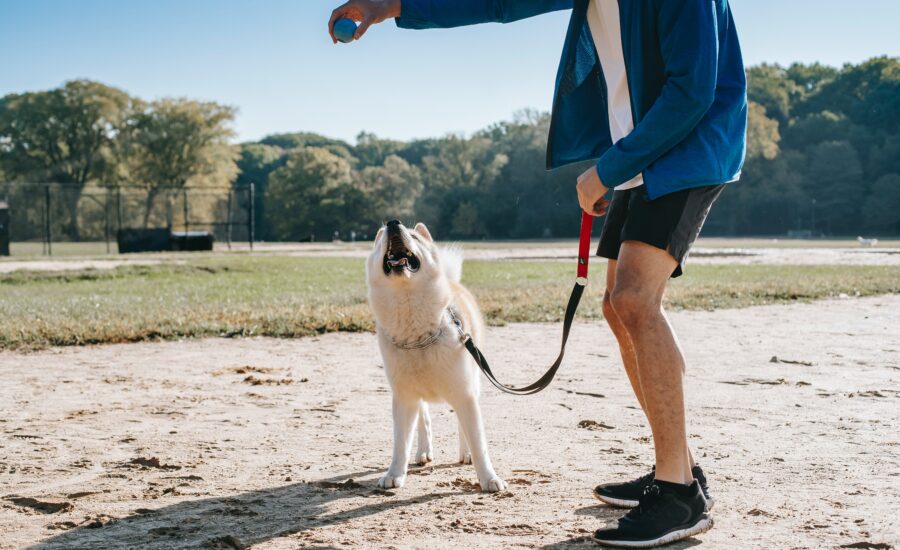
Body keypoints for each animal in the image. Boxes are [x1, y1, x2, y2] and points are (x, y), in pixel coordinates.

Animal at [366, 222, 506, 494]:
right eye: (381, 237)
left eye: (414, 235)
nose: (392, 223)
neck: (417, 336)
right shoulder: (404, 397)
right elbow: (401, 442)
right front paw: (394, 474)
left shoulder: (464, 393)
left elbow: (479, 442)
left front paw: (488, 478)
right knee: (424, 420)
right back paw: (423, 452)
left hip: (472, 385)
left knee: (462, 426)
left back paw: (465, 454)